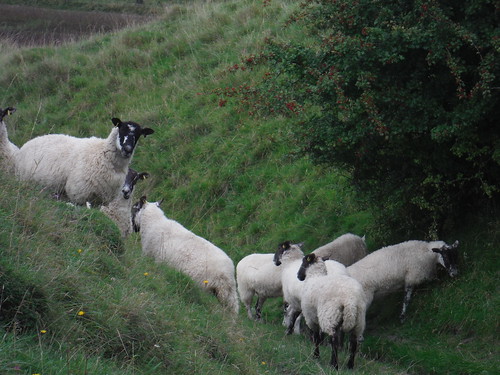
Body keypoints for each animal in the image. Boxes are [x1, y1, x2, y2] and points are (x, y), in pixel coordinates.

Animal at [14, 117, 154, 206]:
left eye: (138, 134)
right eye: (121, 129)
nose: (128, 149)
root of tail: (27, 143)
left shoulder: (101, 198)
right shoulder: (78, 193)